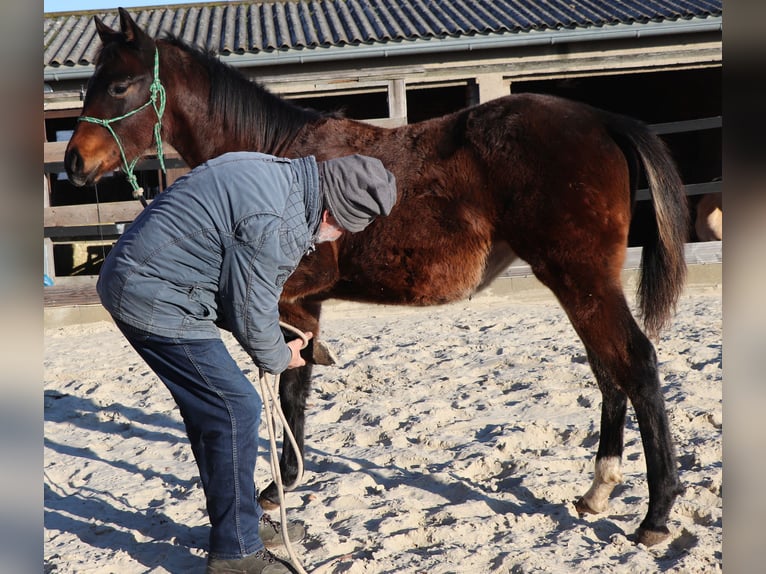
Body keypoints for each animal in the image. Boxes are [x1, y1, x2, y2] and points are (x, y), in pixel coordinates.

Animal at [65, 8, 689, 546]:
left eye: (119, 86)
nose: (74, 163)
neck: (275, 158)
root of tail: (601, 120)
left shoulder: (288, 294)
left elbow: (287, 378)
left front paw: (276, 483)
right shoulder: (304, 304)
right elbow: (294, 384)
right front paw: (285, 480)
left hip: (581, 281)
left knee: (635, 363)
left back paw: (655, 516)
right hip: (578, 285)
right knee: (608, 371)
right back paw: (597, 492)